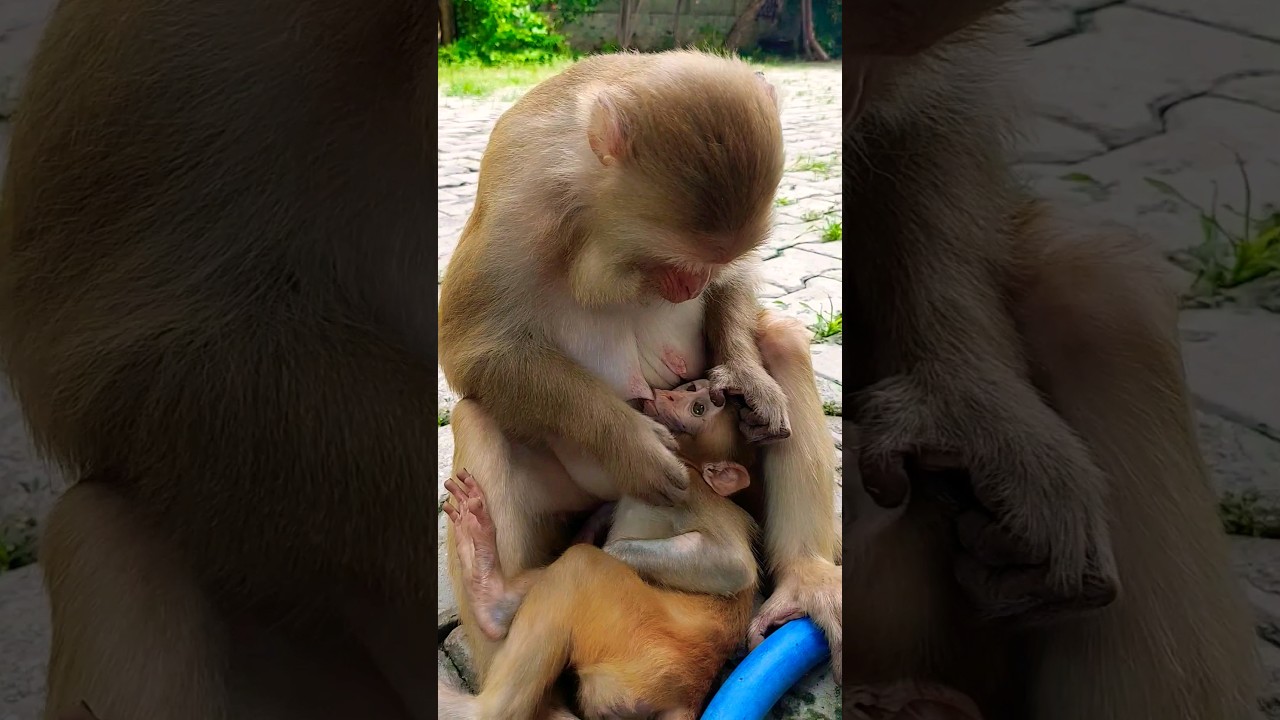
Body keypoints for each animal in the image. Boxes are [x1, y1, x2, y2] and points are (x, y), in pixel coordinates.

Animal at [437, 51, 841, 692]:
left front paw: (746, 379)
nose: (691, 286)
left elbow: (738, 293)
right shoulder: (517, 202)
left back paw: (807, 577)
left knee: (779, 337)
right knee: (477, 414)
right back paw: (503, 634)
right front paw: (631, 445)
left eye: (708, 265)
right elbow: (473, 348)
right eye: (670, 260)